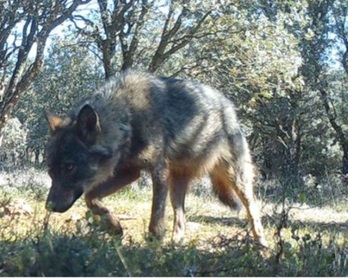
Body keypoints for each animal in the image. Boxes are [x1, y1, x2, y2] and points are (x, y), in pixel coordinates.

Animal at [44, 70, 268, 247]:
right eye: (50, 170)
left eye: (69, 167)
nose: (49, 207)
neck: (128, 117)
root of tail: (229, 106)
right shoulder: (130, 172)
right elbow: (91, 197)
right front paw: (114, 226)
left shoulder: (158, 171)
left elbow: (156, 217)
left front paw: (152, 243)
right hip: (176, 188)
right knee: (181, 219)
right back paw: (175, 245)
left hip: (236, 180)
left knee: (253, 210)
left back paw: (261, 245)